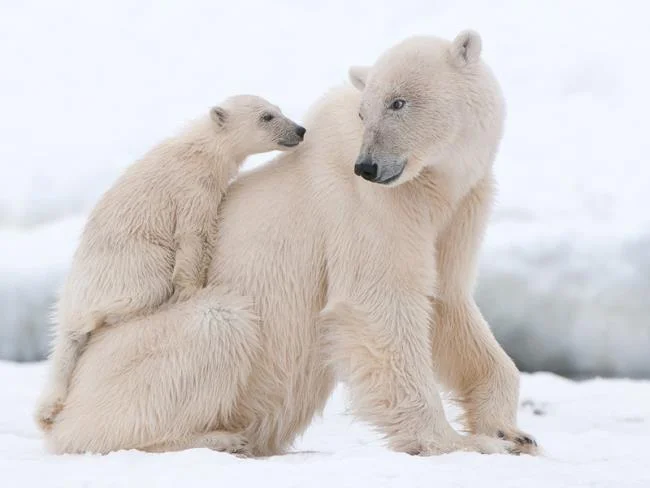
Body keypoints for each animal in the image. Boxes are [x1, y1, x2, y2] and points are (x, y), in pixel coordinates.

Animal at [34, 95, 306, 432]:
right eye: (266, 116)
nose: (300, 129)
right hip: (130, 265)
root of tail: (71, 301)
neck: (201, 149)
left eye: (278, 110)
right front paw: (190, 290)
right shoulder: (192, 189)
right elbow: (193, 236)